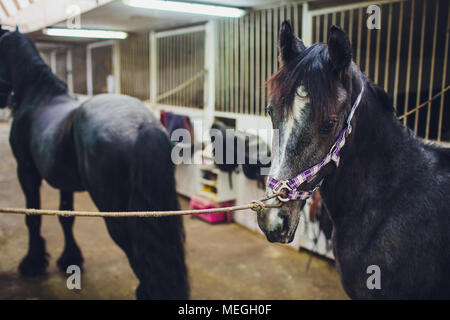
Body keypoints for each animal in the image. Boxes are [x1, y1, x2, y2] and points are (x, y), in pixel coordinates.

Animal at [0, 28, 189, 298]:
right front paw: (70, 259)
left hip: (115, 215)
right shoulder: (63, 183)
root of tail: (143, 125)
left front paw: (33, 263)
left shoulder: (26, 172)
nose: (3, 98)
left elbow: (32, 217)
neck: (39, 97)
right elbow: (66, 217)